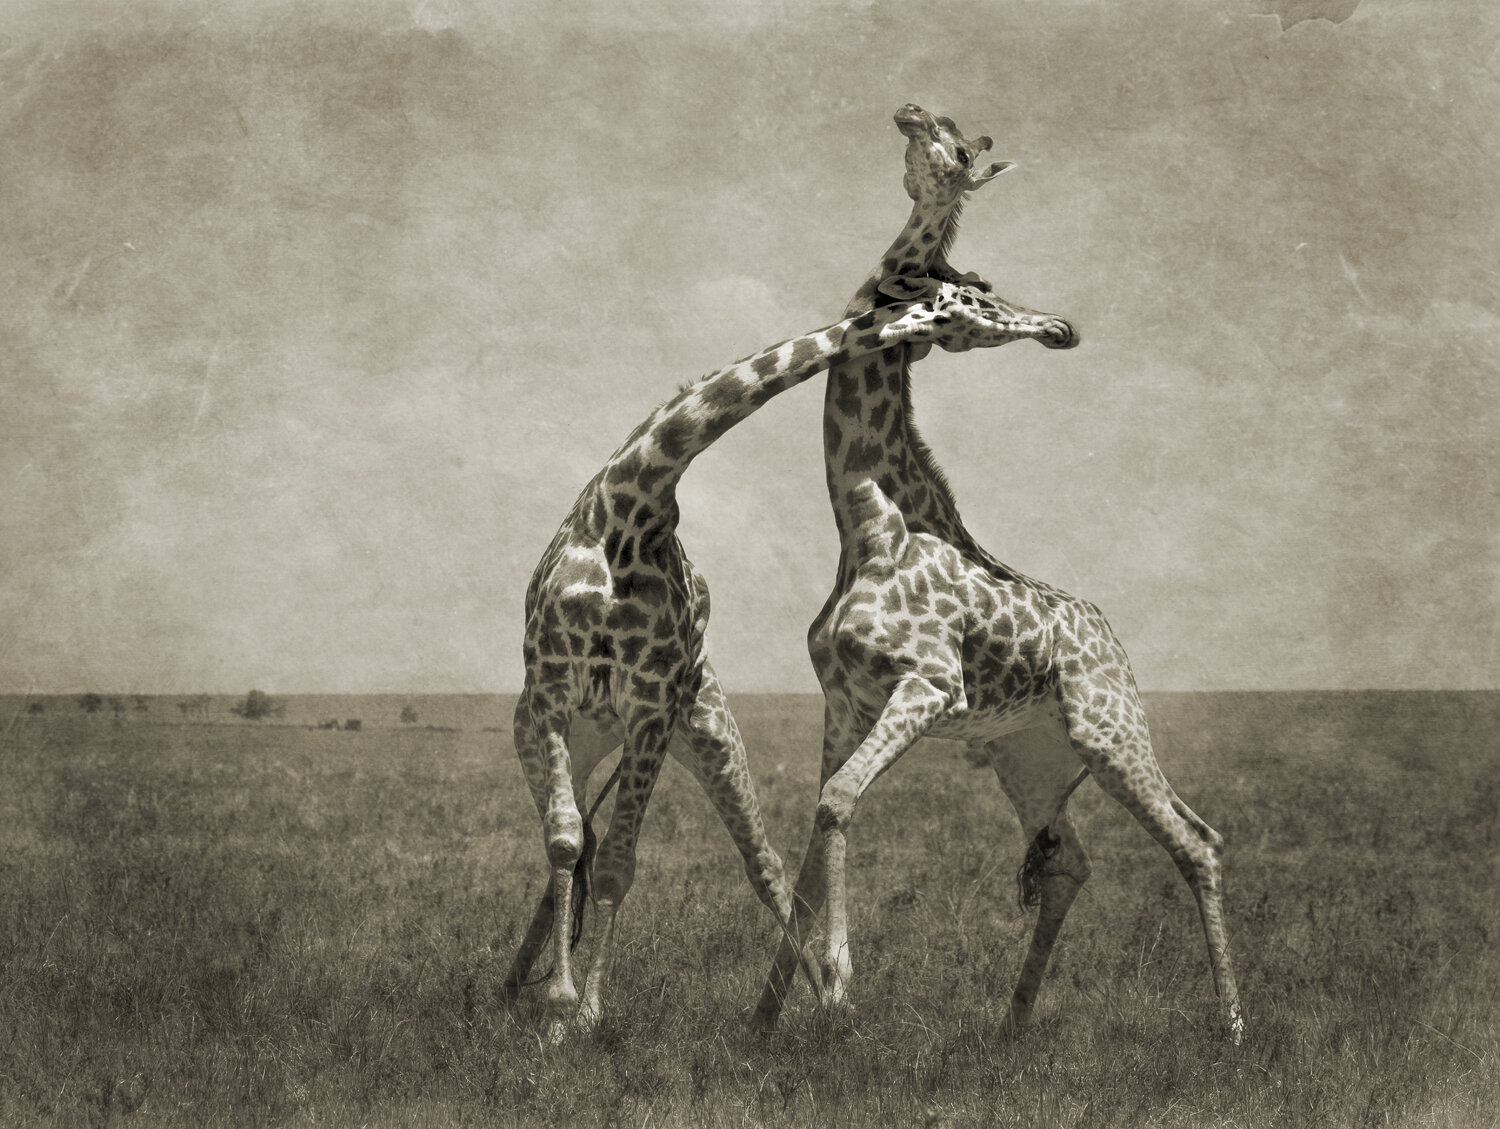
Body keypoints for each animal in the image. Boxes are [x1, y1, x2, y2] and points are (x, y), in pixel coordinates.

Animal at [506, 271, 1070, 1042]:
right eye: (974, 299)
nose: (1059, 328)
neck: (630, 504)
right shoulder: (552, 694)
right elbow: (566, 843)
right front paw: (560, 1007)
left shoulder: (650, 704)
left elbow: (619, 862)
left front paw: (584, 1010)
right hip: (560, 734)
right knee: (576, 837)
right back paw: (517, 982)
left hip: (701, 729)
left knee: (762, 862)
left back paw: (818, 996)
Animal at [752, 107, 1245, 1043]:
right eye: (977, 290)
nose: (1062, 328)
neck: (868, 525)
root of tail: (1114, 638)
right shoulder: (846, 702)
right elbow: (815, 825)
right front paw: (760, 1018)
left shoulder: (926, 686)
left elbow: (837, 803)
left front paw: (838, 989)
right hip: (1031, 753)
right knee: (1072, 861)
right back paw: (1011, 1027)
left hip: (1110, 729)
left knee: (1197, 839)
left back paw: (1236, 1030)